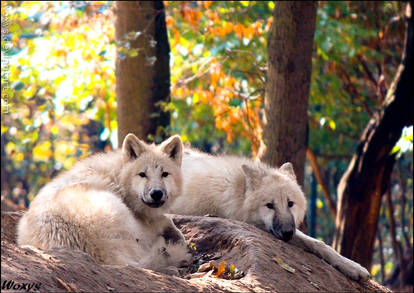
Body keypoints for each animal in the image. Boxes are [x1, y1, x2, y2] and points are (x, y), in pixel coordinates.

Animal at [16, 133, 191, 272]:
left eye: (164, 174)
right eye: (142, 174)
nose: (156, 194)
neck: (116, 178)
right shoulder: (142, 221)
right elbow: (165, 220)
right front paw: (176, 236)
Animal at [170, 147, 370, 280]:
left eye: (290, 203)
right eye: (269, 205)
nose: (288, 233)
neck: (235, 191)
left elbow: (319, 244)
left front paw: (354, 267)